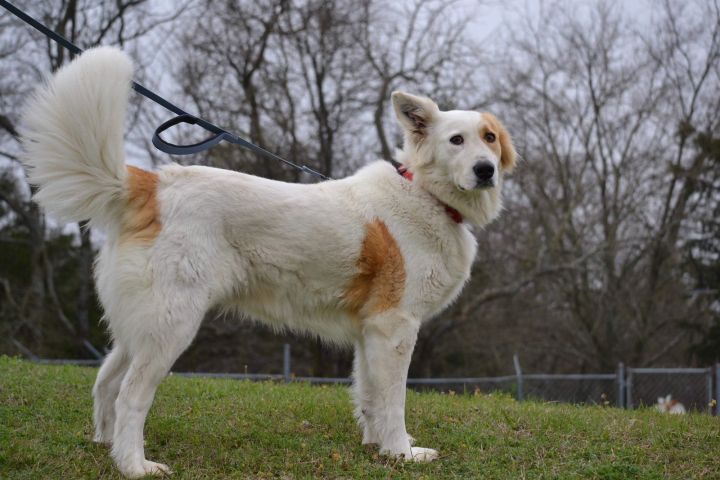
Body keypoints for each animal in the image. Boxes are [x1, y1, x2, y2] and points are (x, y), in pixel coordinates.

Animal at [21, 47, 516, 478]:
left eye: (489, 139)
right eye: (456, 141)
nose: (485, 170)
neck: (427, 195)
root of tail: (154, 184)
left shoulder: (369, 332)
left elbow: (370, 397)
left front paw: (379, 448)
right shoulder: (394, 327)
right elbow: (393, 400)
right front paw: (401, 453)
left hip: (142, 326)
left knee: (105, 381)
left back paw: (106, 447)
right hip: (171, 327)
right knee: (130, 396)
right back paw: (134, 465)